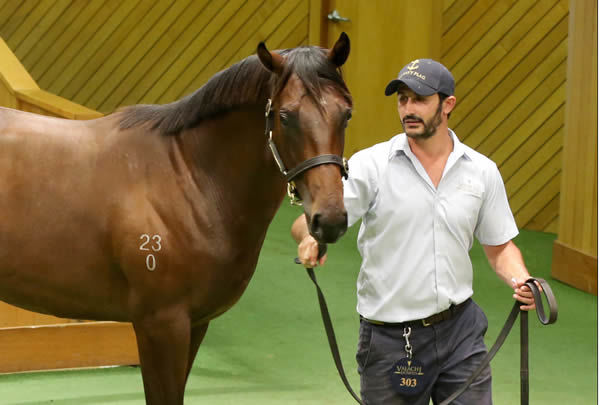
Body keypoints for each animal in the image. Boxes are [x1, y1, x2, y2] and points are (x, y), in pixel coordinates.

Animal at [0, 33, 352, 402]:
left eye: (346, 114)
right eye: (285, 116)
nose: (330, 219)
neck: (189, 179)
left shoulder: (196, 323)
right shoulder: (161, 325)